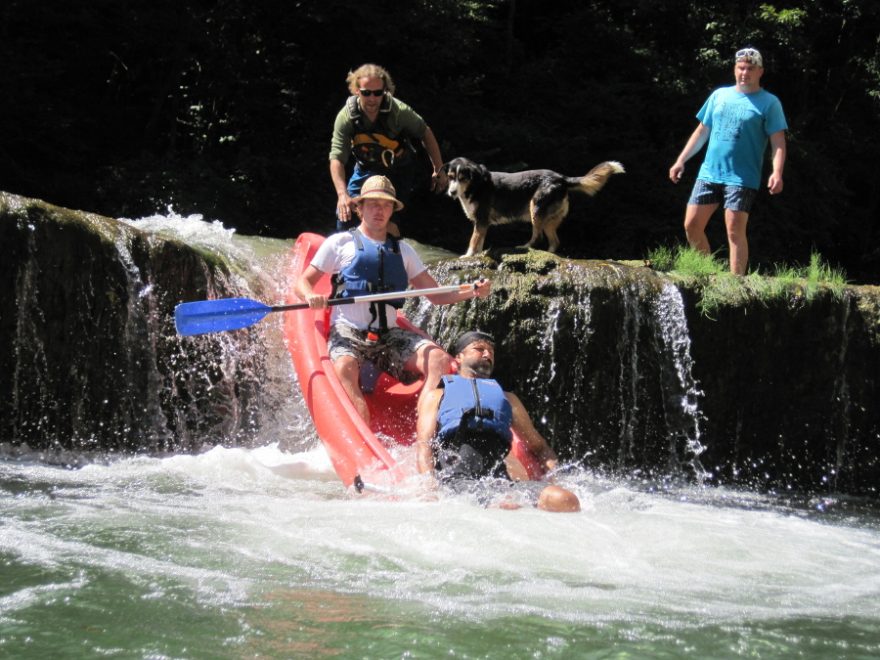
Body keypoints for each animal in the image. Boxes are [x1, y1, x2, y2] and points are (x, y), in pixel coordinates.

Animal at [444, 157, 624, 255]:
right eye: (451, 177)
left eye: (462, 178)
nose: (451, 192)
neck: (476, 184)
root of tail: (562, 178)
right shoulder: (482, 223)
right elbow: (479, 242)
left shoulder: (481, 220)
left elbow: (473, 241)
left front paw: (467, 256)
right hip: (549, 220)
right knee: (555, 241)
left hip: (535, 209)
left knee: (538, 237)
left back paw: (524, 247)